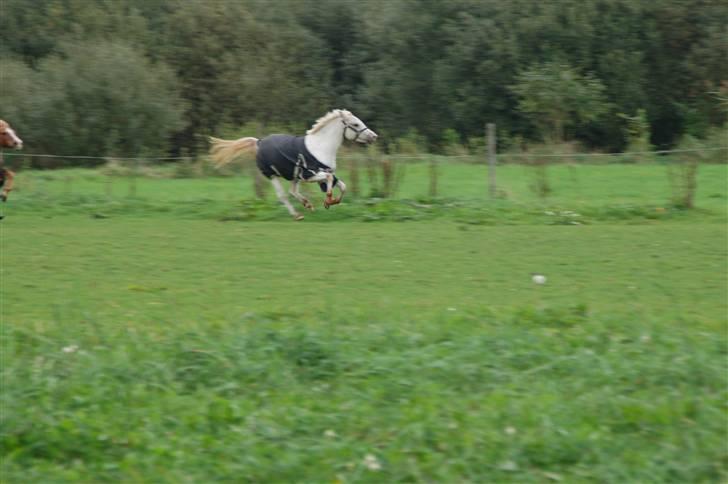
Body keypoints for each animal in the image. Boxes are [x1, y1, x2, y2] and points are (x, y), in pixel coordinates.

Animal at [209, 109, 378, 219]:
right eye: (355, 124)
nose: (374, 136)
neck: (321, 147)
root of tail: (259, 142)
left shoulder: (324, 173)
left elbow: (343, 186)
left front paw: (332, 201)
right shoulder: (310, 175)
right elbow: (329, 181)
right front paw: (328, 200)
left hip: (294, 176)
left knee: (292, 191)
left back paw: (307, 204)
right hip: (272, 175)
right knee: (283, 195)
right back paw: (297, 215)